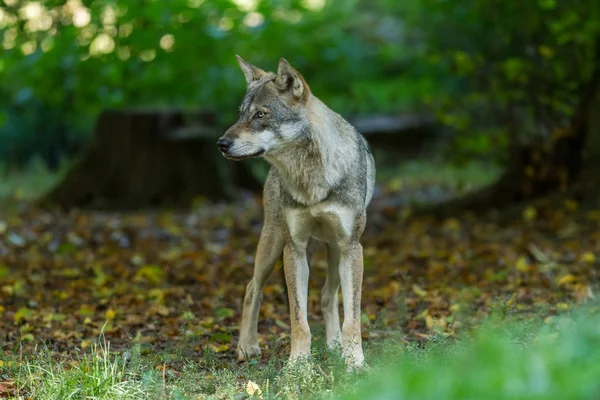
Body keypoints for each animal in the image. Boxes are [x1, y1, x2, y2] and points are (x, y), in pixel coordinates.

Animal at [216, 57, 376, 368]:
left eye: (260, 114)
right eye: (240, 115)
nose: (221, 144)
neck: (311, 179)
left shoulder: (352, 248)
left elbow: (352, 318)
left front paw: (354, 362)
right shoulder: (295, 249)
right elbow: (298, 319)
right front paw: (298, 365)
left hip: (334, 251)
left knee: (327, 296)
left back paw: (334, 346)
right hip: (272, 242)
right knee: (252, 288)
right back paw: (246, 347)